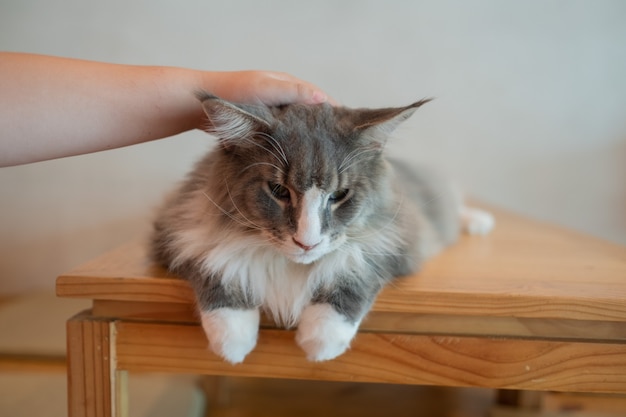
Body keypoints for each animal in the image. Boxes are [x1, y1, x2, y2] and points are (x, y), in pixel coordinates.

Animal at [151, 92, 492, 362]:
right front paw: (232, 341)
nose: (307, 243)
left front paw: (320, 341)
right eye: (278, 190)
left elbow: (351, 276)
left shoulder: (395, 244)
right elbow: (219, 274)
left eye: (339, 195)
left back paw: (480, 221)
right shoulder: (179, 233)